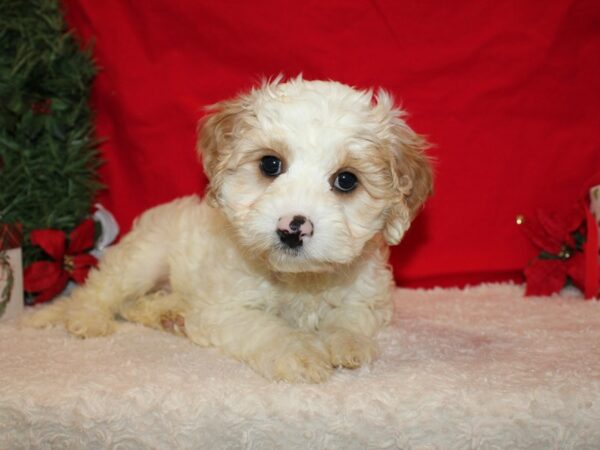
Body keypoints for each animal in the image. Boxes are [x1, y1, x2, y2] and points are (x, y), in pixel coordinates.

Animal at [25, 77, 432, 384]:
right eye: (270, 164)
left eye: (346, 180)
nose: (291, 228)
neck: (300, 281)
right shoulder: (226, 308)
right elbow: (266, 328)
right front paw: (299, 353)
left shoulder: (367, 298)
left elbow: (350, 318)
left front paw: (347, 344)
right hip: (143, 259)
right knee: (103, 291)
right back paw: (87, 318)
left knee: (138, 304)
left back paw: (169, 315)